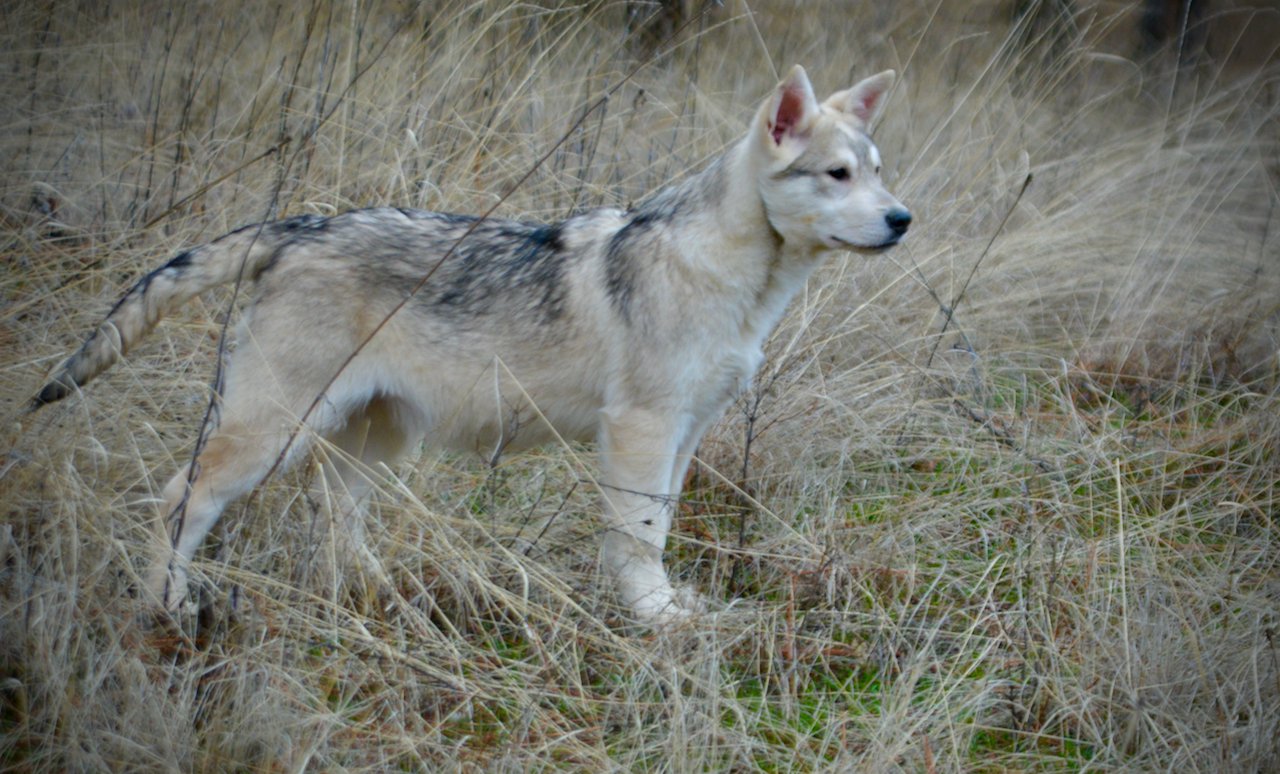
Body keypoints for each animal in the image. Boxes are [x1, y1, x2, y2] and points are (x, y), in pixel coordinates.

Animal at [30, 64, 911, 621]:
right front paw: (658, 620)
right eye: (837, 175)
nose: (903, 219)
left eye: (877, 171)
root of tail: (304, 226)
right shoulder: (641, 428)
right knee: (182, 498)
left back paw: (387, 591)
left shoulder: (685, 433)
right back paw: (169, 606)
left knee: (334, 525)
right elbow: (635, 539)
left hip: (371, 440)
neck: (739, 281)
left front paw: (665, 608)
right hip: (270, 434)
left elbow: (656, 530)